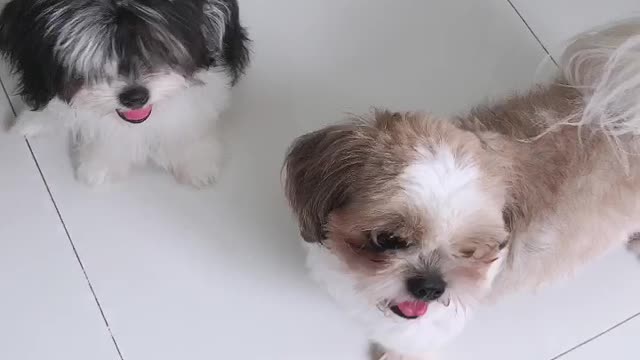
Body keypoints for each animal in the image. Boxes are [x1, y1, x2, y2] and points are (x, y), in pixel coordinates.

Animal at [0, 0, 249, 186]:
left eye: (157, 46)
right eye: (95, 55)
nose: (135, 97)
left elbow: (187, 120)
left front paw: (196, 163)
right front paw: (102, 164)